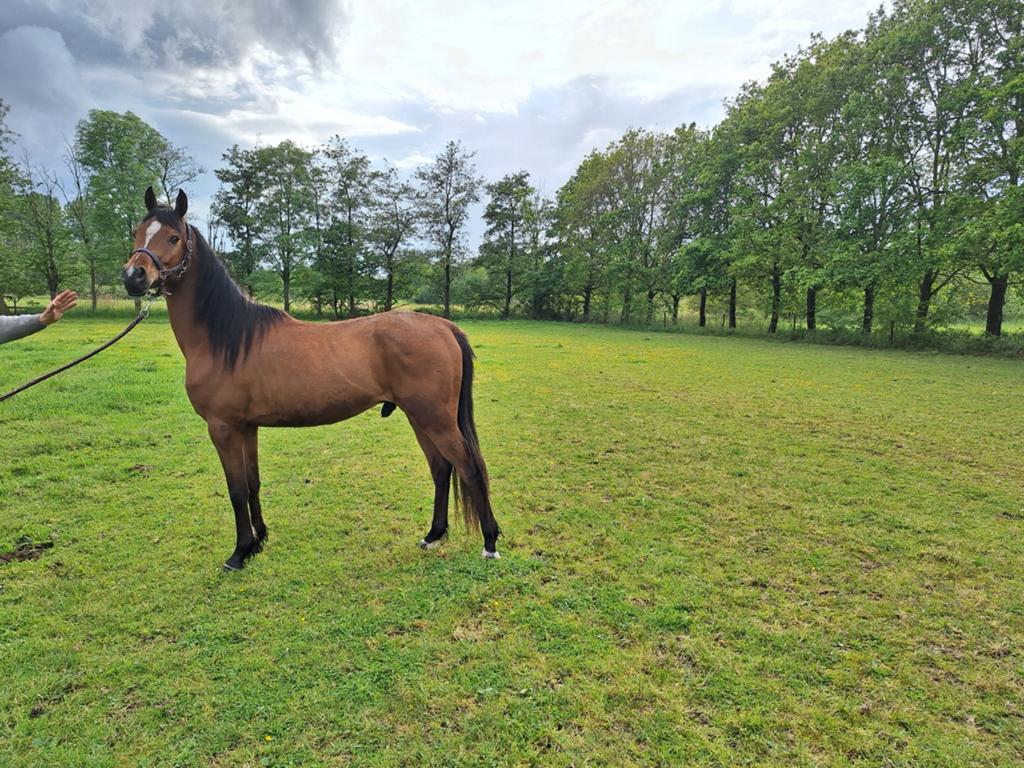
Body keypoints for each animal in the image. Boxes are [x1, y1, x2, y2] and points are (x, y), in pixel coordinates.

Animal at [121, 187, 500, 570]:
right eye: (137, 233)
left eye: (173, 237)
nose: (133, 276)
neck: (227, 338)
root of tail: (445, 326)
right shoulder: (246, 427)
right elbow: (253, 483)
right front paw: (259, 540)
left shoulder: (223, 428)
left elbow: (236, 490)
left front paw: (240, 552)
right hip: (419, 417)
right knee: (441, 468)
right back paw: (433, 536)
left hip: (435, 418)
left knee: (469, 467)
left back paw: (489, 542)